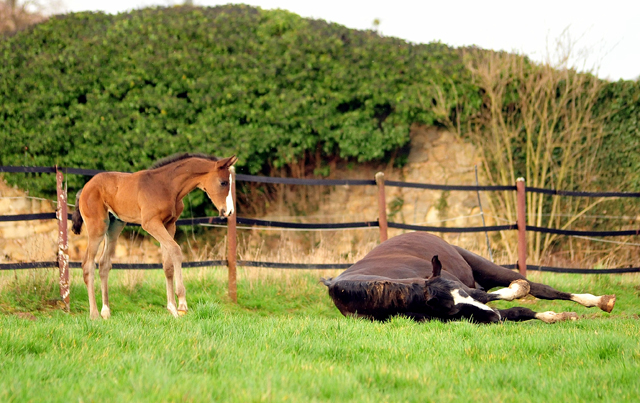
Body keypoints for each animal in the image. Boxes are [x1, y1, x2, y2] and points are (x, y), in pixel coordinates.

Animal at [70, 153, 240, 320]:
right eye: (223, 182)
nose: (229, 211)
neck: (167, 186)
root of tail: (84, 188)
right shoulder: (151, 223)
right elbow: (176, 250)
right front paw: (182, 305)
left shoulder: (169, 225)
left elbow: (167, 264)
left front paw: (172, 308)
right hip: (97, 226)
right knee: (88, 264)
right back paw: (94, 314)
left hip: (114, 226)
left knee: (104, 264)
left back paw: (106, 312)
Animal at [324, 232, 616, 324]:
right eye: (452, 312)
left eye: (462, 294)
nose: (494, 318)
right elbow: (518, 311)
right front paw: (554, 317)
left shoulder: (472, 291)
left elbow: (512, 293)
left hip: (485, 267)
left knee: (541, 288)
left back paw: (599, 301)